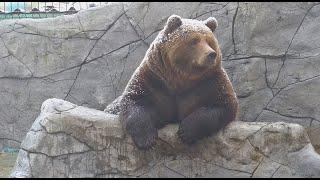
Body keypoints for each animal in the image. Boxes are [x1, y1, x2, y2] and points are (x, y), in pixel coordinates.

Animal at [106, 14, 239, 150]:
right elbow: (134, 102)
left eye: (209, 41)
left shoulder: (210, 83)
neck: (180, 79)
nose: (211, 54)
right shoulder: (153, 80)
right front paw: (147, 139)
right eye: (194, 41)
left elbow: (221, 105)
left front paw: (186, 131)